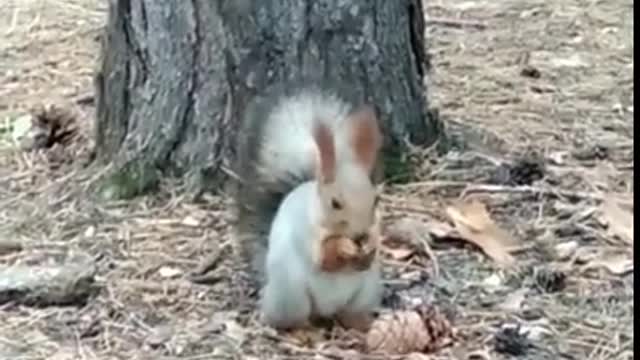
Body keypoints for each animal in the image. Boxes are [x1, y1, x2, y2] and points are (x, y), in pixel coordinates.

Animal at [235, 79, 384, 332]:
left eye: (376, 200)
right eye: (335, 203)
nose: (360, 236)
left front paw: (372, 244)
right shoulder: (304, 232)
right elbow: (325, 257)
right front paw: (344, 247)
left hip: (365, 293)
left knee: (349, 314)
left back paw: (362, 324)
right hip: (291, 297)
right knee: (293, 321)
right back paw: (302, 333)